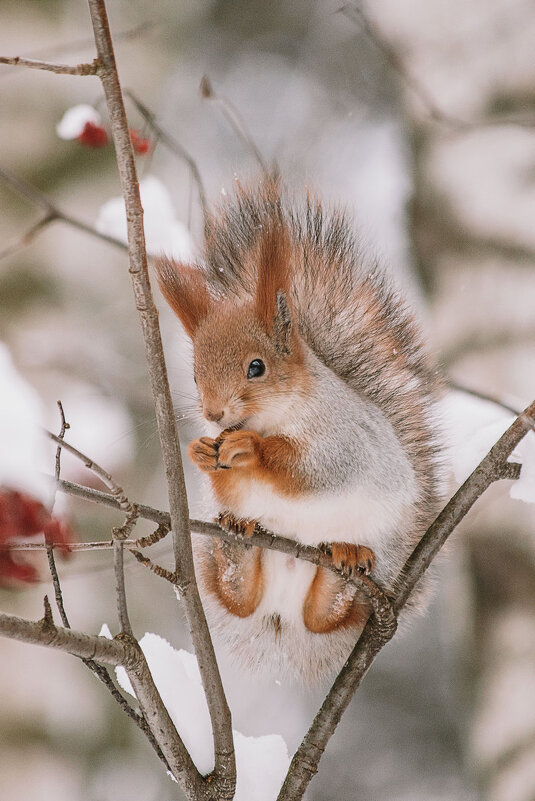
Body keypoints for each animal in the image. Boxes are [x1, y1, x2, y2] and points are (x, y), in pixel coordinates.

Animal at [156, 180, 444, 680]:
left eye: (257, 367)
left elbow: (311, 472)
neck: (273, 418)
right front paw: (201, 453)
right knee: (240, 595)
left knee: (327, 613)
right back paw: (238, 542)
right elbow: (231, 485)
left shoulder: (343, 443)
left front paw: (251, 449)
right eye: (193, 375)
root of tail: (283, 617)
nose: (214, 414)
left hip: (382, 548)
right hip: (235, 571)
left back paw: (346, 561)